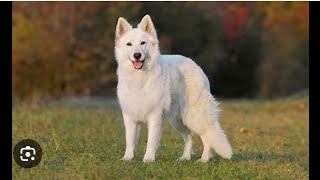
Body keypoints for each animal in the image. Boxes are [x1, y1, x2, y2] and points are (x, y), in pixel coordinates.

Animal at [115, 14, 232, 163]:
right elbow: (129, 140)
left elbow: (151, 141)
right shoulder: (130, 116)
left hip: (195, 117)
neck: (139, 78)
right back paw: (185, 158)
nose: (137, 55)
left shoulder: (154, 116)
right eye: (129, 44)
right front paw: (127, 158)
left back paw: (204, 159)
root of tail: (197, 66)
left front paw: (148, 160)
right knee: (189, 137)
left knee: (207, 136)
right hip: (178, 120)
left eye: (142, 43)